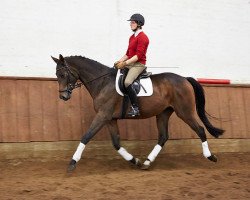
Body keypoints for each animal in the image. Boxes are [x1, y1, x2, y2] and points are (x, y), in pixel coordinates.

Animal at [51, 54, 224, 172]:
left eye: (63, 74)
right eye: (56, 75)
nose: (63, 96)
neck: (102, 82)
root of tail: (184, 79)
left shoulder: (102, 116)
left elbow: (86, 136)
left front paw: (72, 162)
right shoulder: (110, 119)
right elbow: (116, 143)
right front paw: (135, 161)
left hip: (185, 111)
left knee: (200, 130)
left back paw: (210, 156)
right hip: (163, 113)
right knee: (163, 137)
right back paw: (147, 162)